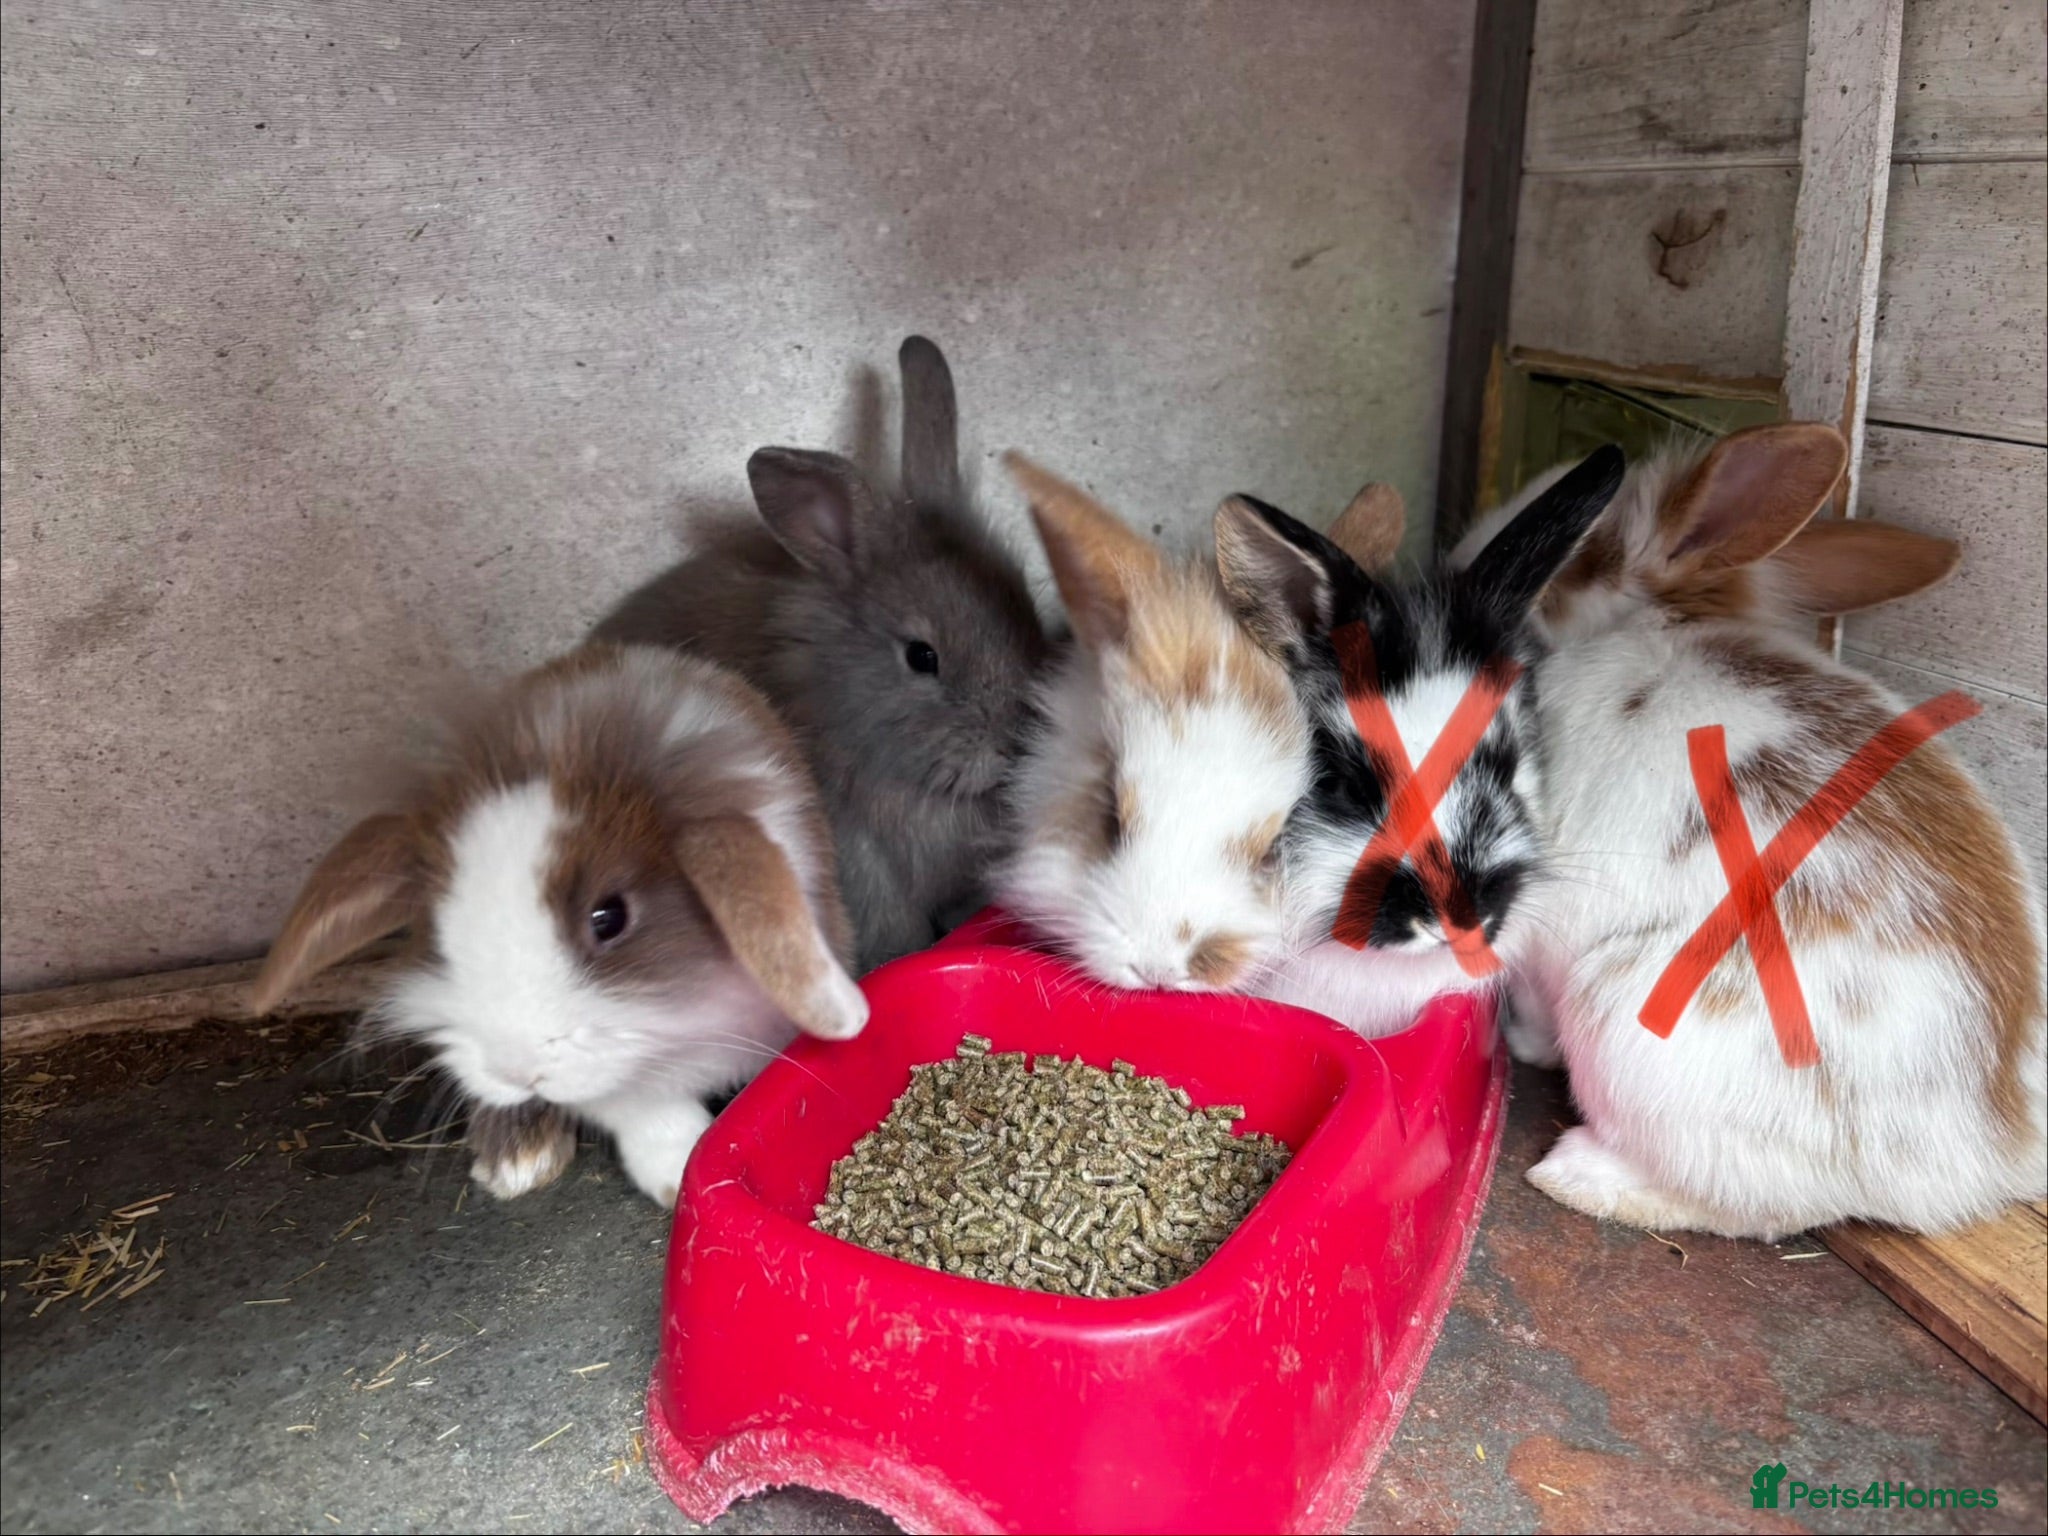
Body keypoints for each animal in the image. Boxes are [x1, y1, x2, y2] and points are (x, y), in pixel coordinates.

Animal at [248, 642, 868, 1207]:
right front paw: (678, 1179)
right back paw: (518, 1161)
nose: (516, 1067)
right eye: (438, 928)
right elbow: (647, 1113)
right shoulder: (617, 1084)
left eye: (609, 918)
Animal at [1453, 422, 2046, 1239]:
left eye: (1586, 551)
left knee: (1750, 1206)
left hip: (1621, 1019)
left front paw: (1519, 1043)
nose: (1459, 552)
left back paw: (1579, 1175)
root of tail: (1992, 1153)